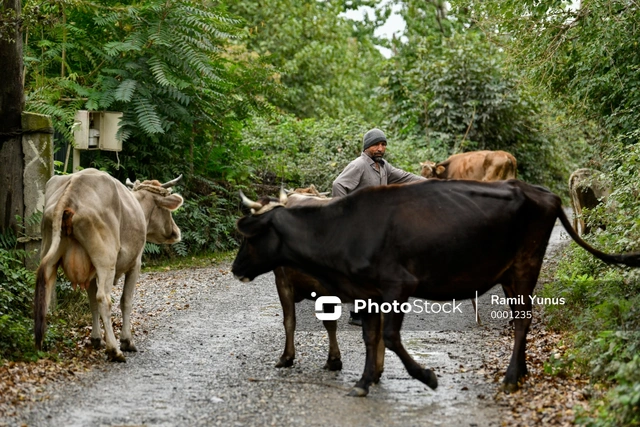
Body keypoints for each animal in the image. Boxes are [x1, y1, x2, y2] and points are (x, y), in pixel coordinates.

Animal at [232, 179, 640, 396]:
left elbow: (391, 337)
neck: (339, 230)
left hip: (525, 264)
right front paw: (364, 380)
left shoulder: (397, 284)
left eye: (249, 238)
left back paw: (511, 377)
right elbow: (370, 336)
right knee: (521, 318)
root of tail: (541, 192)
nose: (235, 269)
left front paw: (426, 376)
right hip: (511, 272)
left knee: (523, 320)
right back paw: (521, 371)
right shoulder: (367, 291)